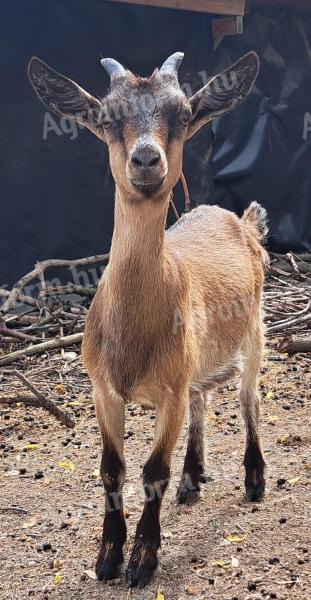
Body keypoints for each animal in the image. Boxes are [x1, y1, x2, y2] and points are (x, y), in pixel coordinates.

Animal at [28, 49, 270, 588]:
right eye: (106, 117)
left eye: (182, 115)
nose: (145, 160)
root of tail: (242, 222)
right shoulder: (103, 389)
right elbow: (111, 469)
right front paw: (106, 557)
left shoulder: (169, 394)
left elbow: (152, 470)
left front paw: (142, 561)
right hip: (197, 363)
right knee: (204, 399)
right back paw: (192, 480)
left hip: (254, 334)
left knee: (247, 400)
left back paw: (254, 478)